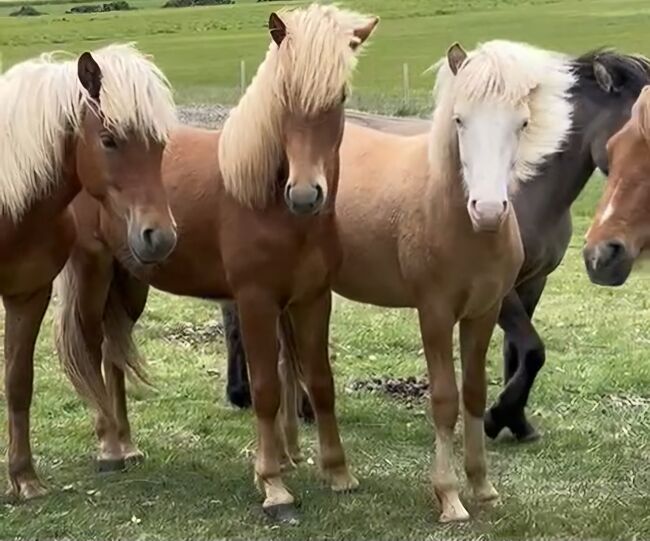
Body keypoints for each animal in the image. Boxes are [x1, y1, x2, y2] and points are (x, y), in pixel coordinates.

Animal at [0, 44, 177, 500]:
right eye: (109, 140)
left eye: (159, 144)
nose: (160, 237)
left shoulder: (30, 295)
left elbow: (19, 382)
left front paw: (24, 478)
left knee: (108, 350)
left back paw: (120, 445)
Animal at [55, 3, 380, 520]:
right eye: (285, 94)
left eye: (341, 95)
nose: (306, 195)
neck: (265, 199)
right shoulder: (255, 301)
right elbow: (267, 389)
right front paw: (274, 486)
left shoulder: (312, 299)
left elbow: (320, 382)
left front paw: (338, 474)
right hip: (93, 272)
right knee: (88, 351)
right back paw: (108, 449)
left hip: (130, 281)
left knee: (112, 356)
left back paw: (127, 447)